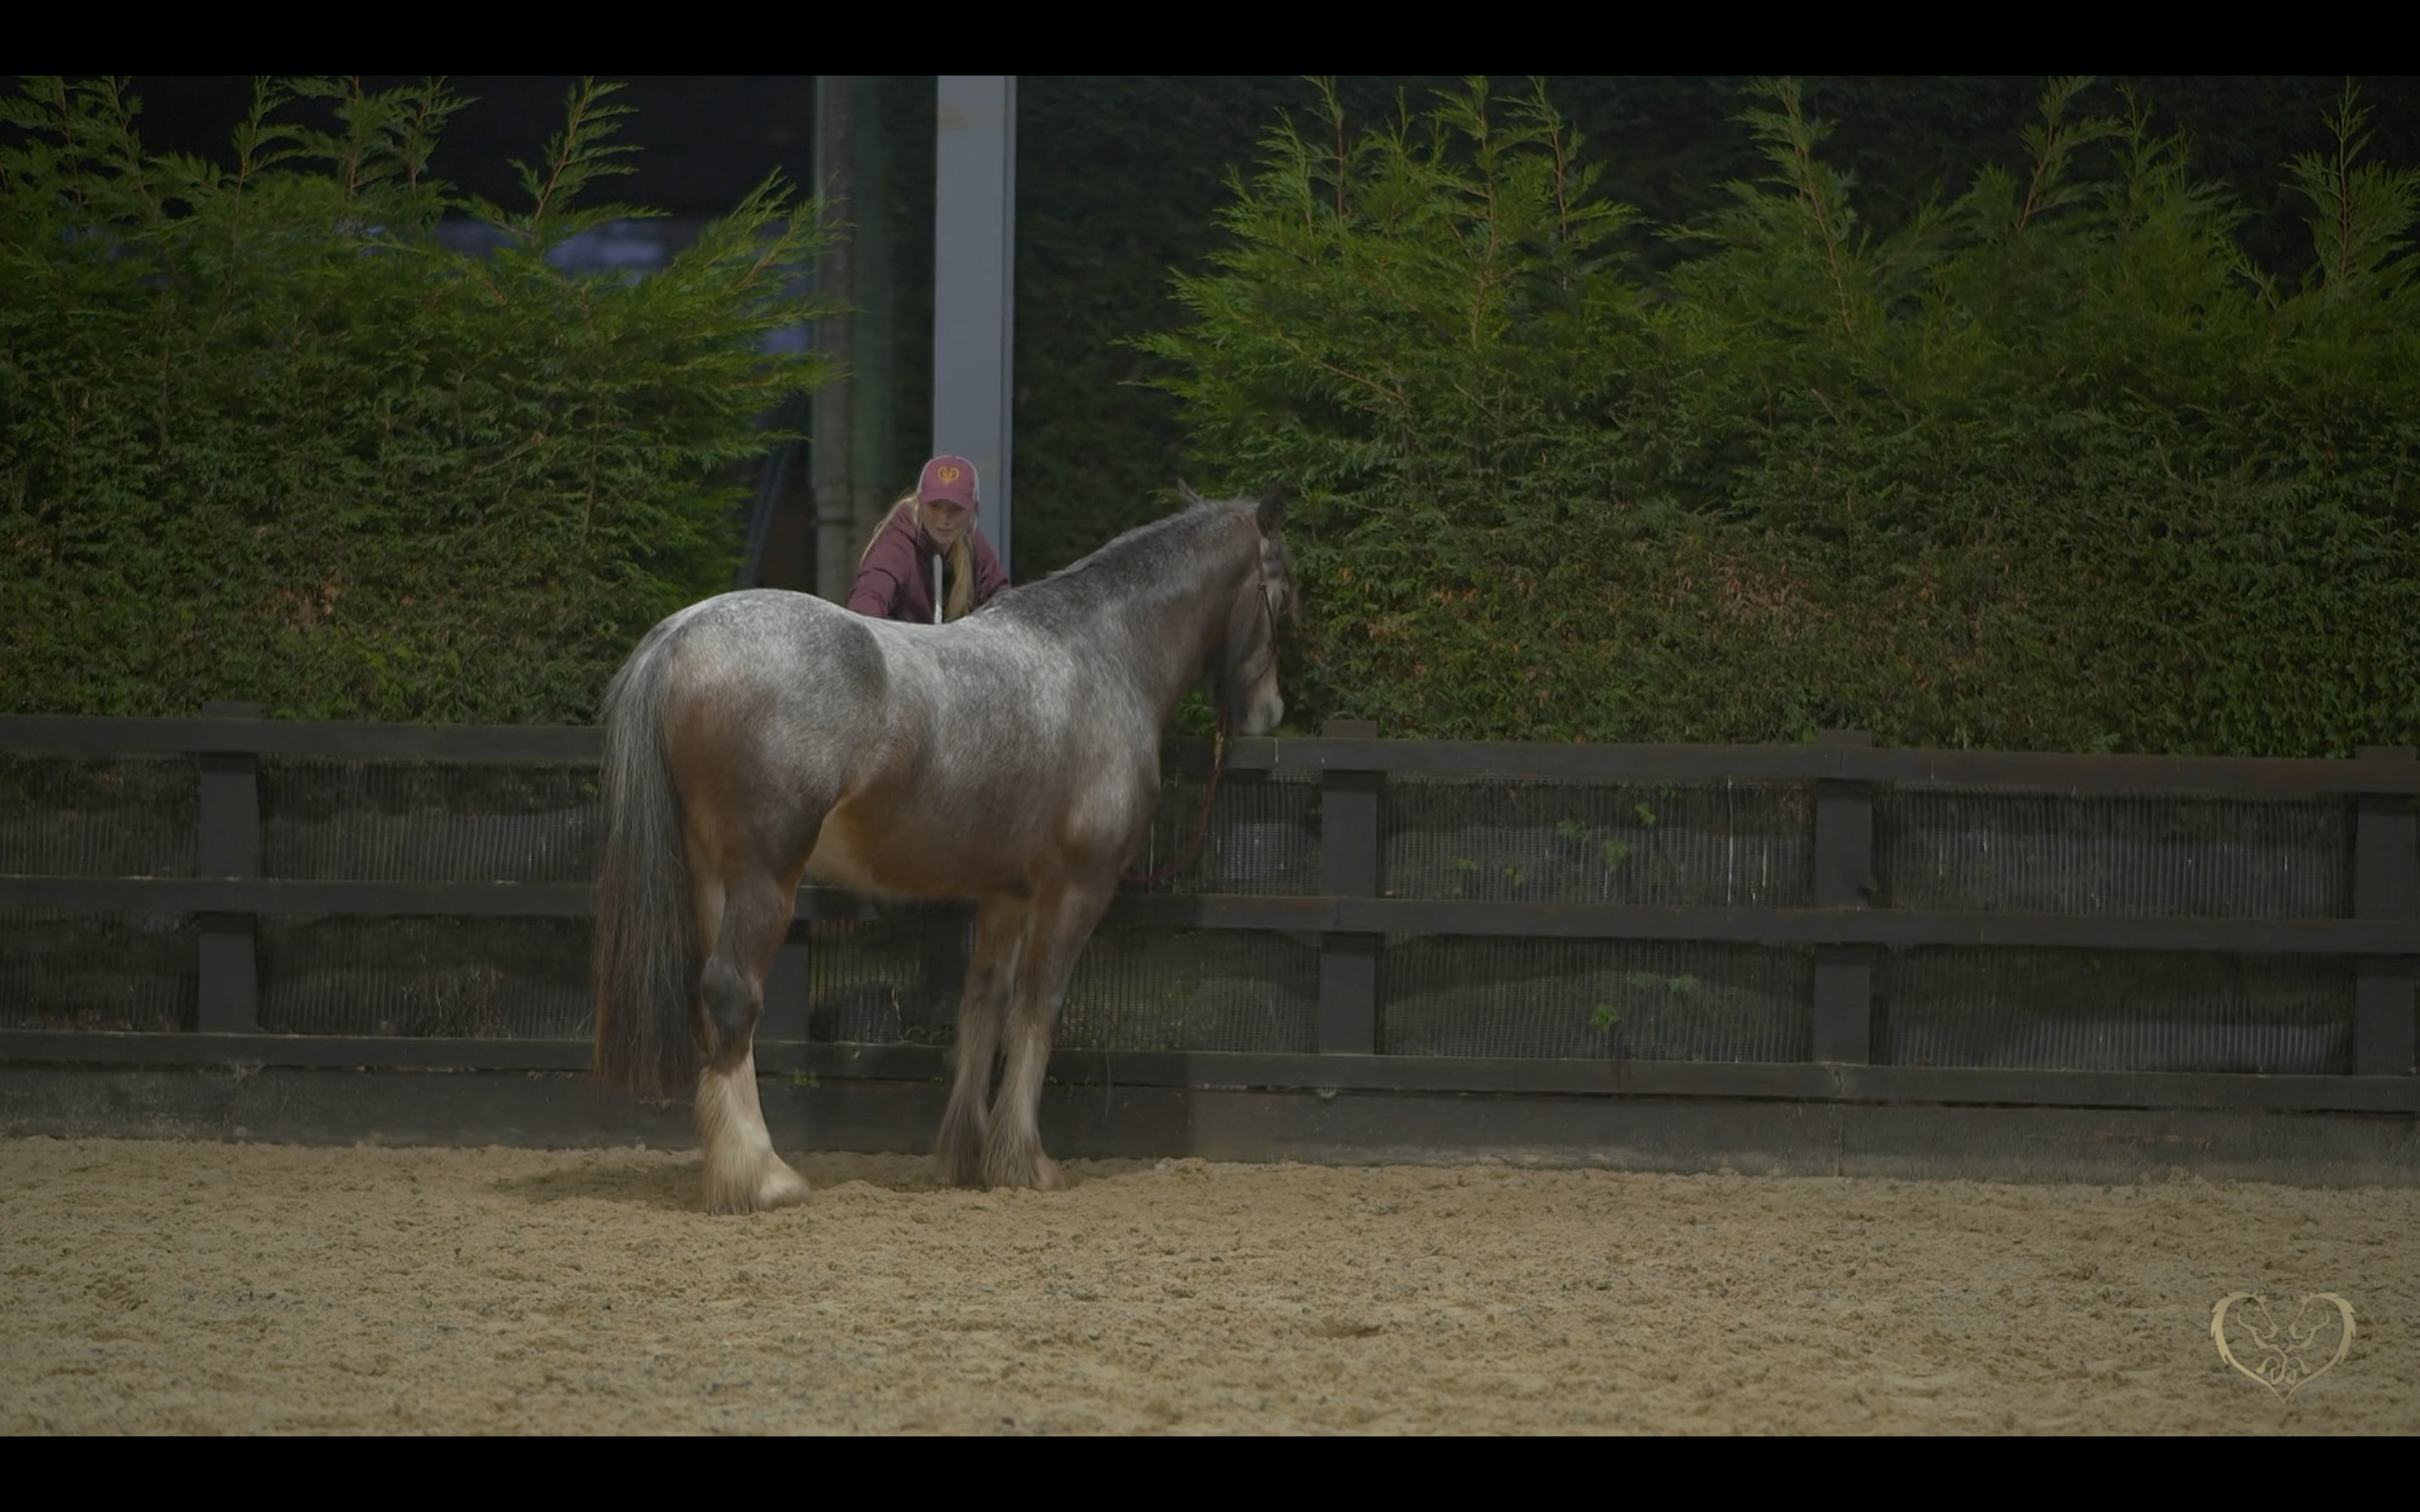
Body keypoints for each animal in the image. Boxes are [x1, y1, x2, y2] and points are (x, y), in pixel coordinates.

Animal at [590, 487, 1293, 1213]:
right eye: (1283, 585)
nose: (1270, 711)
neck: (1102, 655)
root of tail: (679, 635)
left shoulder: (1006, 895)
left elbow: (982, 1005)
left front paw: (966, 1154)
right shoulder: (1076, 888)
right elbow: (1038, 1008)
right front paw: (1025, 1160)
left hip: (709, 877)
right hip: (763, 878)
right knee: (733, 993)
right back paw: (761, 1175)